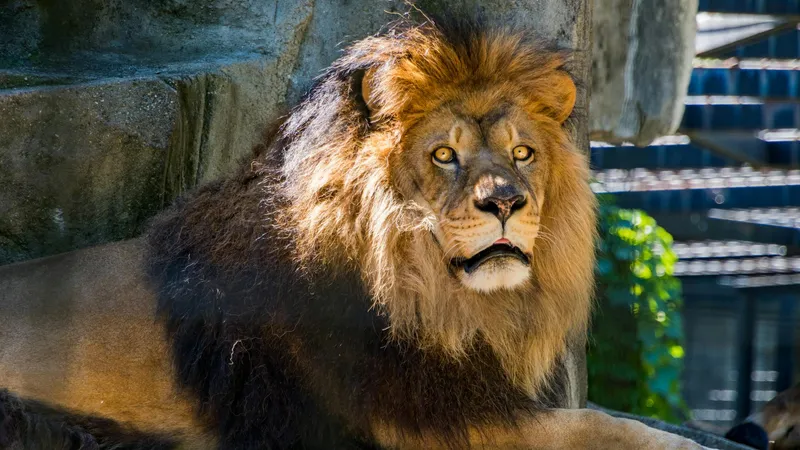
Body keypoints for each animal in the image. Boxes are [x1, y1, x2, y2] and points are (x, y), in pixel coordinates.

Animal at [0, 18, 713, 449]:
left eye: (523, 154)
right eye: (444, 155)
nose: (507, 202)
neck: (439, 303)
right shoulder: (416, 425)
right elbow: (594, 424)